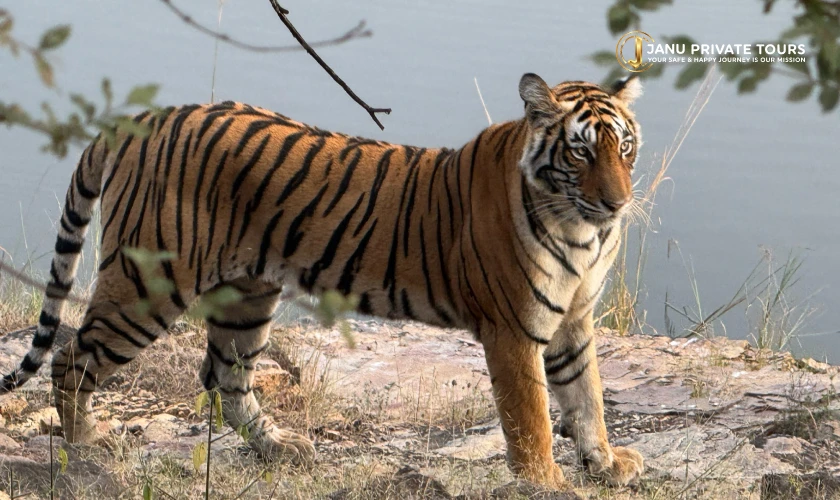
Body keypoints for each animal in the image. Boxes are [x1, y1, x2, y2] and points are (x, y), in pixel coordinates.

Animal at [0, 73, 644, 489]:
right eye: (580, 152)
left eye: (625, 148)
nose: (618, 204)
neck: (580, 231)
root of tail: (144, 118)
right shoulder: (512, 329)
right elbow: (532, 415)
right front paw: (546, 481)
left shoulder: (574, 319)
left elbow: (586, 395)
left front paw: (606, 462)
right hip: (148, 284)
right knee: (72, 359)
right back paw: (87, 447)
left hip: (248, 294)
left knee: (224, 378)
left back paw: (279, 447)